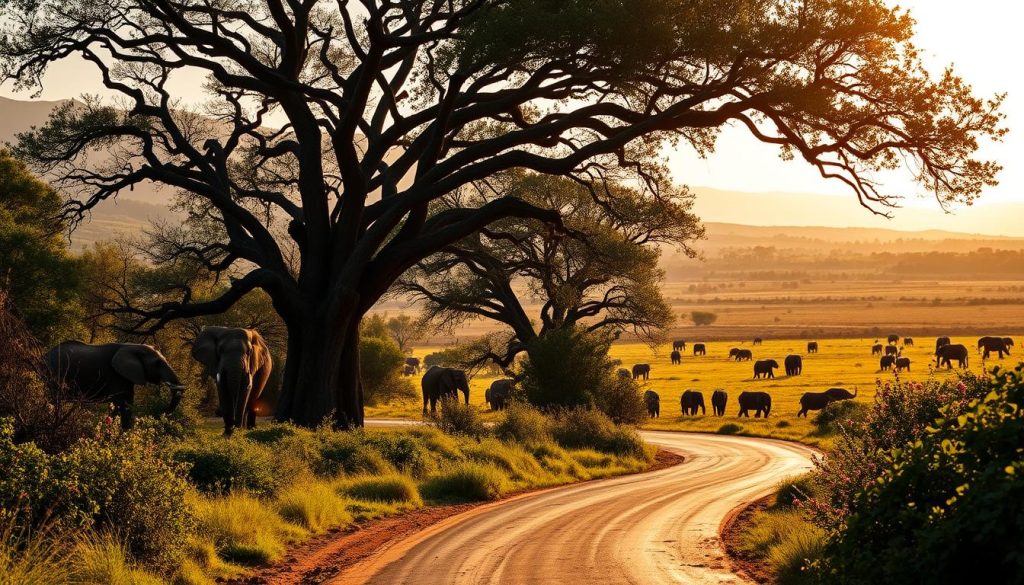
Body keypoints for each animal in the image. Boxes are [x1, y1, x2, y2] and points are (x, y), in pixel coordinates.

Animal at [44, 341, 185, 429]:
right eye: (157, 363)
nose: (163, 411)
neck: (132, 346)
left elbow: (128, 403)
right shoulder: (116, 374)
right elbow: (122, 404)